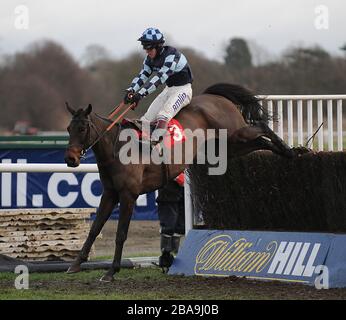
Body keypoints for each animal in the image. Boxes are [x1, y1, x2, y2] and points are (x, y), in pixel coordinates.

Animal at [64, 83, 306, 282]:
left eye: (82, 128)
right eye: (68, 129)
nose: (70, 159)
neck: (119, 147)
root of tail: (214, 97)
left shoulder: (128, 195)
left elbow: (121, 234)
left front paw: (111, 271)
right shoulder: (110, 193)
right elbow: (94, 229)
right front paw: (75, 264)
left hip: (235, 134)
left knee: (261, 129)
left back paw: (289, 149)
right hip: (231, 147)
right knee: (259, 141)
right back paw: (287, 152)